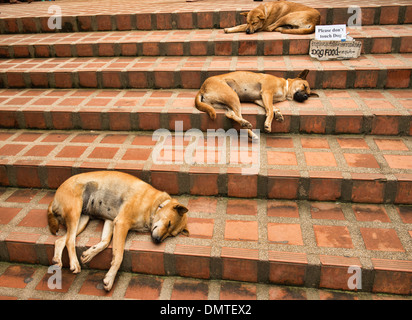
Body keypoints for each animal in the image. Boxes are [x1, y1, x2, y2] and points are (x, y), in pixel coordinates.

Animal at [47, 171, 189, 292]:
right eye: (169, 223)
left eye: (171, 235)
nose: (158, 240)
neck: (155, 204)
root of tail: (54, 198)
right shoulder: (121, 223)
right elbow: (118, 255)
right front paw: (110, 278)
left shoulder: (111, 221)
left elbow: (105, 241)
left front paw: (90, 253)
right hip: (75, 212)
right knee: (70, 240)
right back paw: (74, 263)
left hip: (82, 220)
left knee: (61, 240)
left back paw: (57, 260)